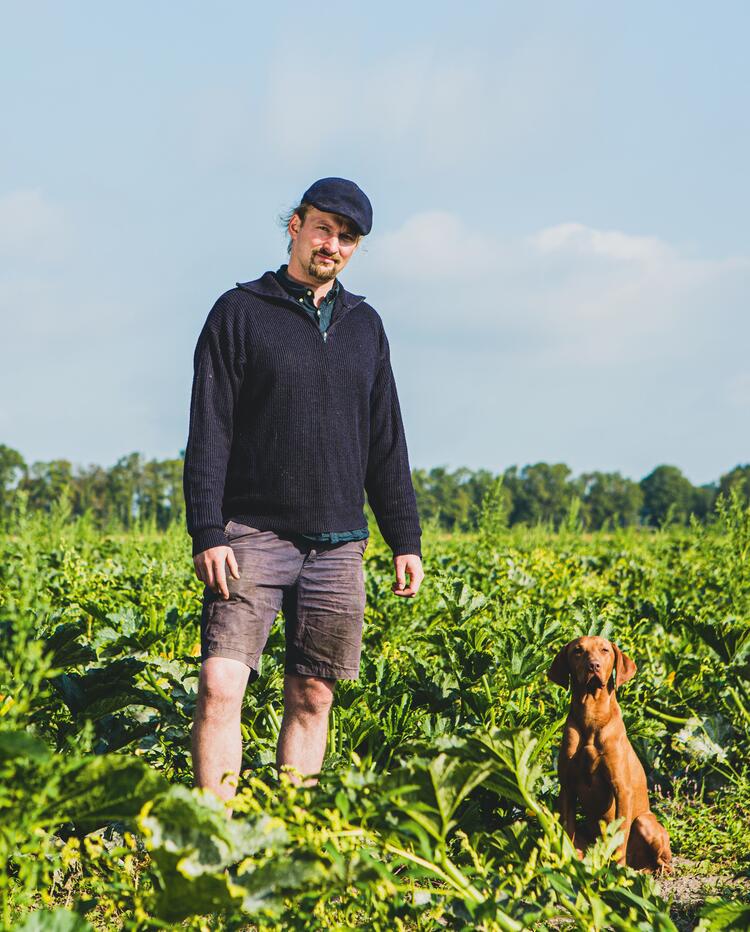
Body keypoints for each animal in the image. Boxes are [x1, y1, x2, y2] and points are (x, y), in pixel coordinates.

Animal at [548, 636, 676, 872]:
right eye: (578, 651)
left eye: (605, 650)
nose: (594, 665)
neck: (591, 715)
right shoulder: (567, 787)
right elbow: (567, 832)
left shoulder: (621, 787)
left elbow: (619, 835)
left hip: (645, 822)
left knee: (659, 859)